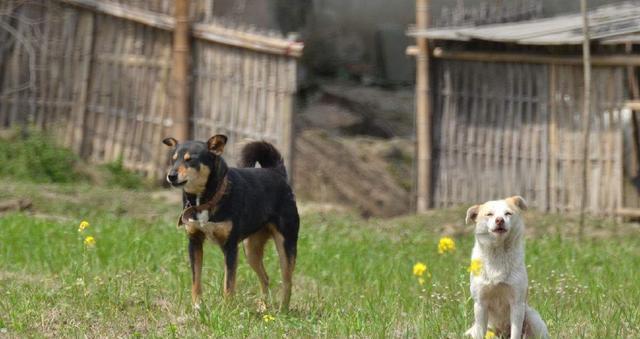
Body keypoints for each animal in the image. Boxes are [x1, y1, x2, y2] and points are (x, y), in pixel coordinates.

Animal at [161, 135, 298, 310]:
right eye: (173, 160)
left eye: (190, 159)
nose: (171, 175)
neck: (205, 200)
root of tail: (276, 172)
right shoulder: (194, 242)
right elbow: (196, 280)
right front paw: (197, 306)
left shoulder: (230, 247)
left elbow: (229, 283)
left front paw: (226, 309)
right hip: (251, 249)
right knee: (265, 277)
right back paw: (263, 307)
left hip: (286, 244)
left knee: (288, 281)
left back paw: (283, 310)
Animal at [464, 197, 552, 339]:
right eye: (489, 214)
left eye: (508, 213)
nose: (499, 220)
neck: (498, 252)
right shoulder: (480, 303)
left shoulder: (517, 303)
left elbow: (515, 332)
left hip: (531, 317)